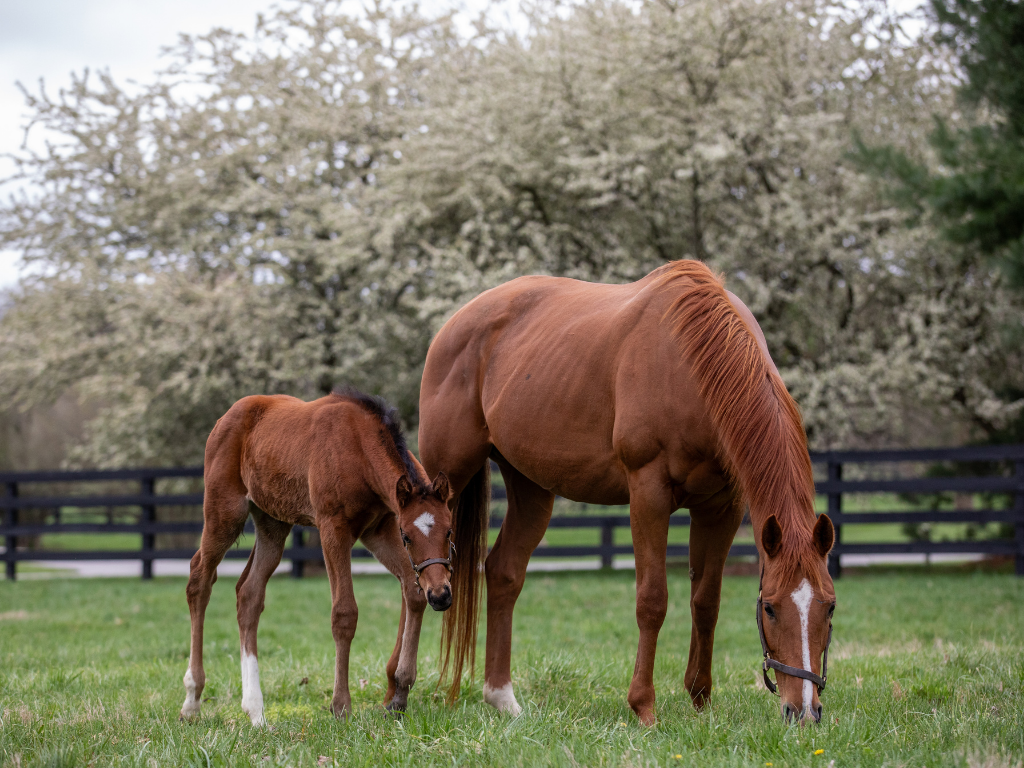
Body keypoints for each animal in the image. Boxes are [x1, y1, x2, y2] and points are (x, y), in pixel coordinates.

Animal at [179, 391, 452, 729]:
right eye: (407, 536)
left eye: (450, 531)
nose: (441, 595)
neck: (359, 449)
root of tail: (226, 417)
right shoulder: (333, 528)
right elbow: (344, 613)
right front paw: (341, 707)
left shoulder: (377, 528)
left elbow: (413, 592)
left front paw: (399, 695)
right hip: (224, 512)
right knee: (199, 578)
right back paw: (192, 700)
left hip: (272, 523)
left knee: (249, 594)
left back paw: (255, 711)